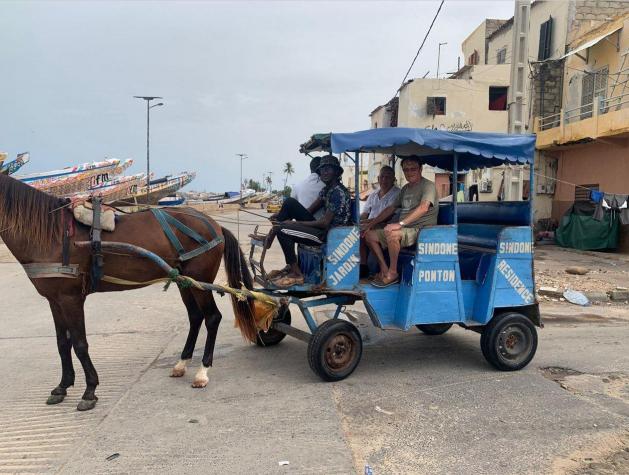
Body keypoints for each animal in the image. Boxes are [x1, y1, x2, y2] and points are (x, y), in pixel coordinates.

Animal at [0, 173, 256, 410]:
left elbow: (80, 344)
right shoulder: (54, 300)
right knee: (195, 317)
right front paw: (62, 386)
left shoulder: (70, 298)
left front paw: (90, 391)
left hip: (199, 281)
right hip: (184, 281)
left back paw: (203, 371)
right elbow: (63, 344)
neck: (54, 236)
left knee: (212, 318)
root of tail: (213, 224)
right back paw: (182, 363)